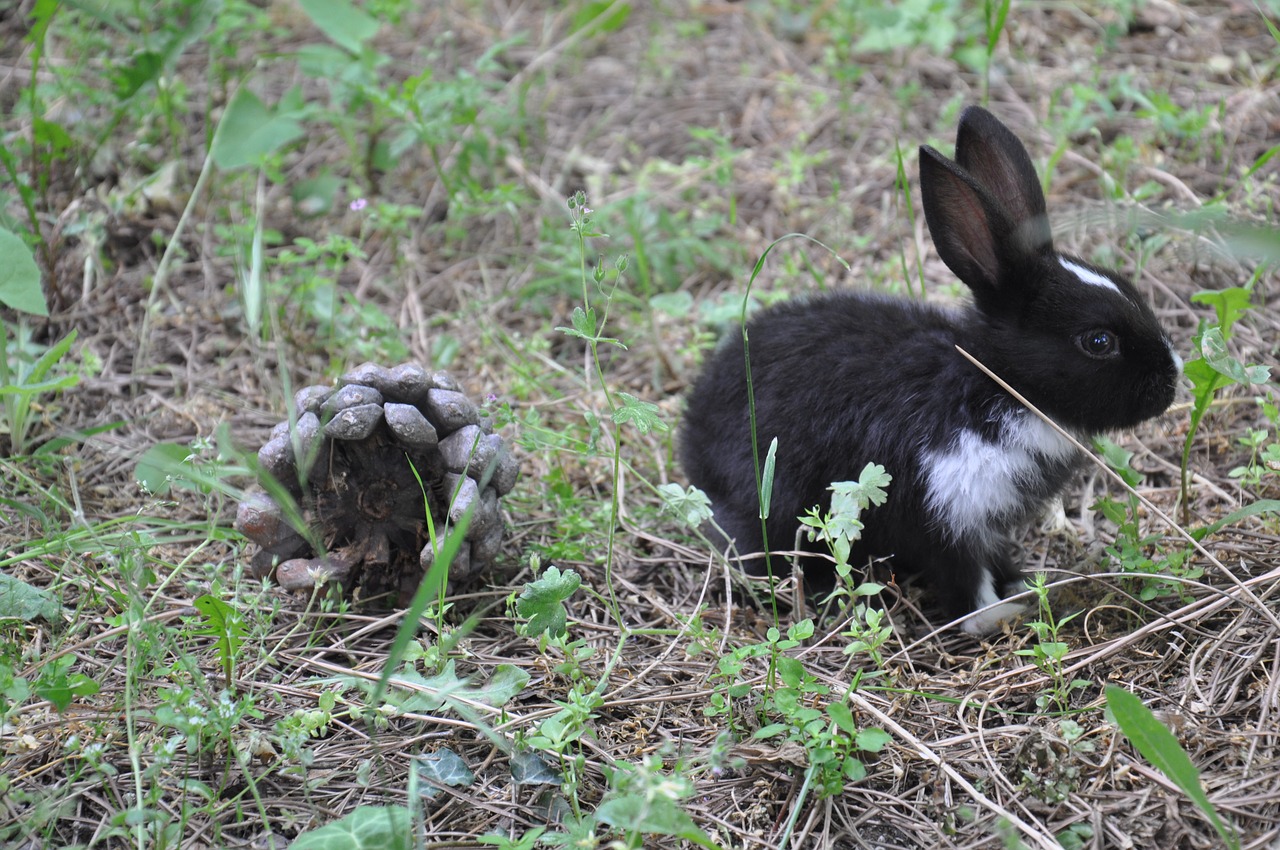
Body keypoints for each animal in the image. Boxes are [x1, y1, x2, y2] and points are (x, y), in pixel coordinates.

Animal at [680, 106, 1177, 634]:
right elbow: (964, 582)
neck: (993, 388)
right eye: (1098, 342)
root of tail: (692, 432)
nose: (1171, 381)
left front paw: (1022, 584)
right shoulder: (945, 511)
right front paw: (1000, 615)